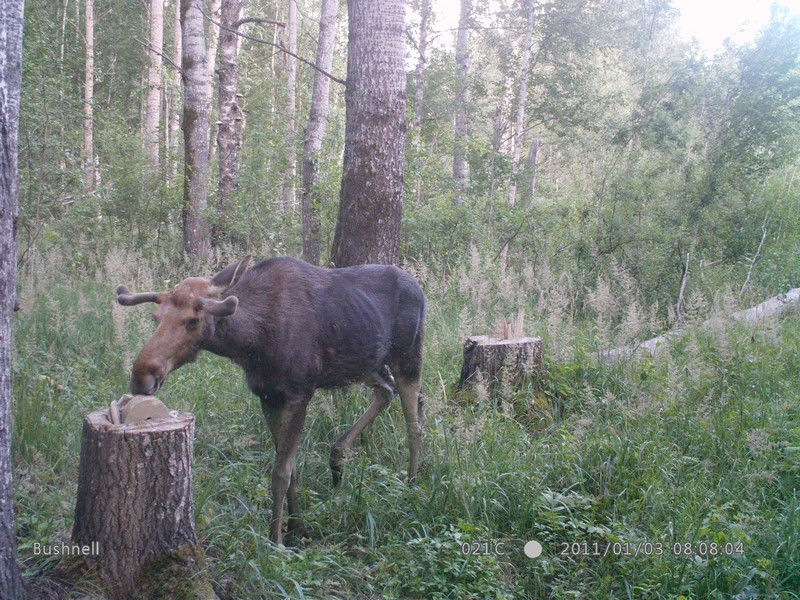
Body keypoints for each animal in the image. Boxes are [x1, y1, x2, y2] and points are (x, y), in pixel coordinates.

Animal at [115, 255, 424, 548]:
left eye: (193, 320)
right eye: (155, 317)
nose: (142, 376)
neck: (252, 341)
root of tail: (420, 288)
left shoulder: (300, 392)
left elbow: (280, 474)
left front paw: (276, 540)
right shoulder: (268, 396)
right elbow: (292, 470)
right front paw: (296, 526)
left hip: (408, 356)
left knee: (414, 423)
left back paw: (411, 484)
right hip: (365, 364)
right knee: (386, 391)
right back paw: (337, 458)